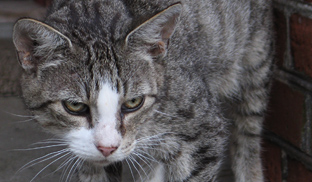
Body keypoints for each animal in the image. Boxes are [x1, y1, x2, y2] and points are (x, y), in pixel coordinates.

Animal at [12, 0, 272, 181]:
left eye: (133, 102)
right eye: (75, 106)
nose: (107, 148)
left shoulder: (205, 132)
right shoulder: (85, 149)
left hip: (255, 57)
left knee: (248, 130)